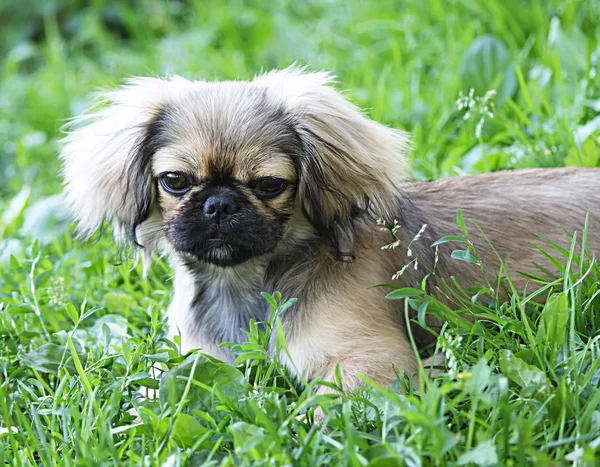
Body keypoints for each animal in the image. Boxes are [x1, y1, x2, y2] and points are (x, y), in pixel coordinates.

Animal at [62, 68, 600, 398]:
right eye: (175, 181)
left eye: (270, 185)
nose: (218, 204)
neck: (245, 287)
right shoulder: (191, 358)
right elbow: (153, 389)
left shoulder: (371, 364)